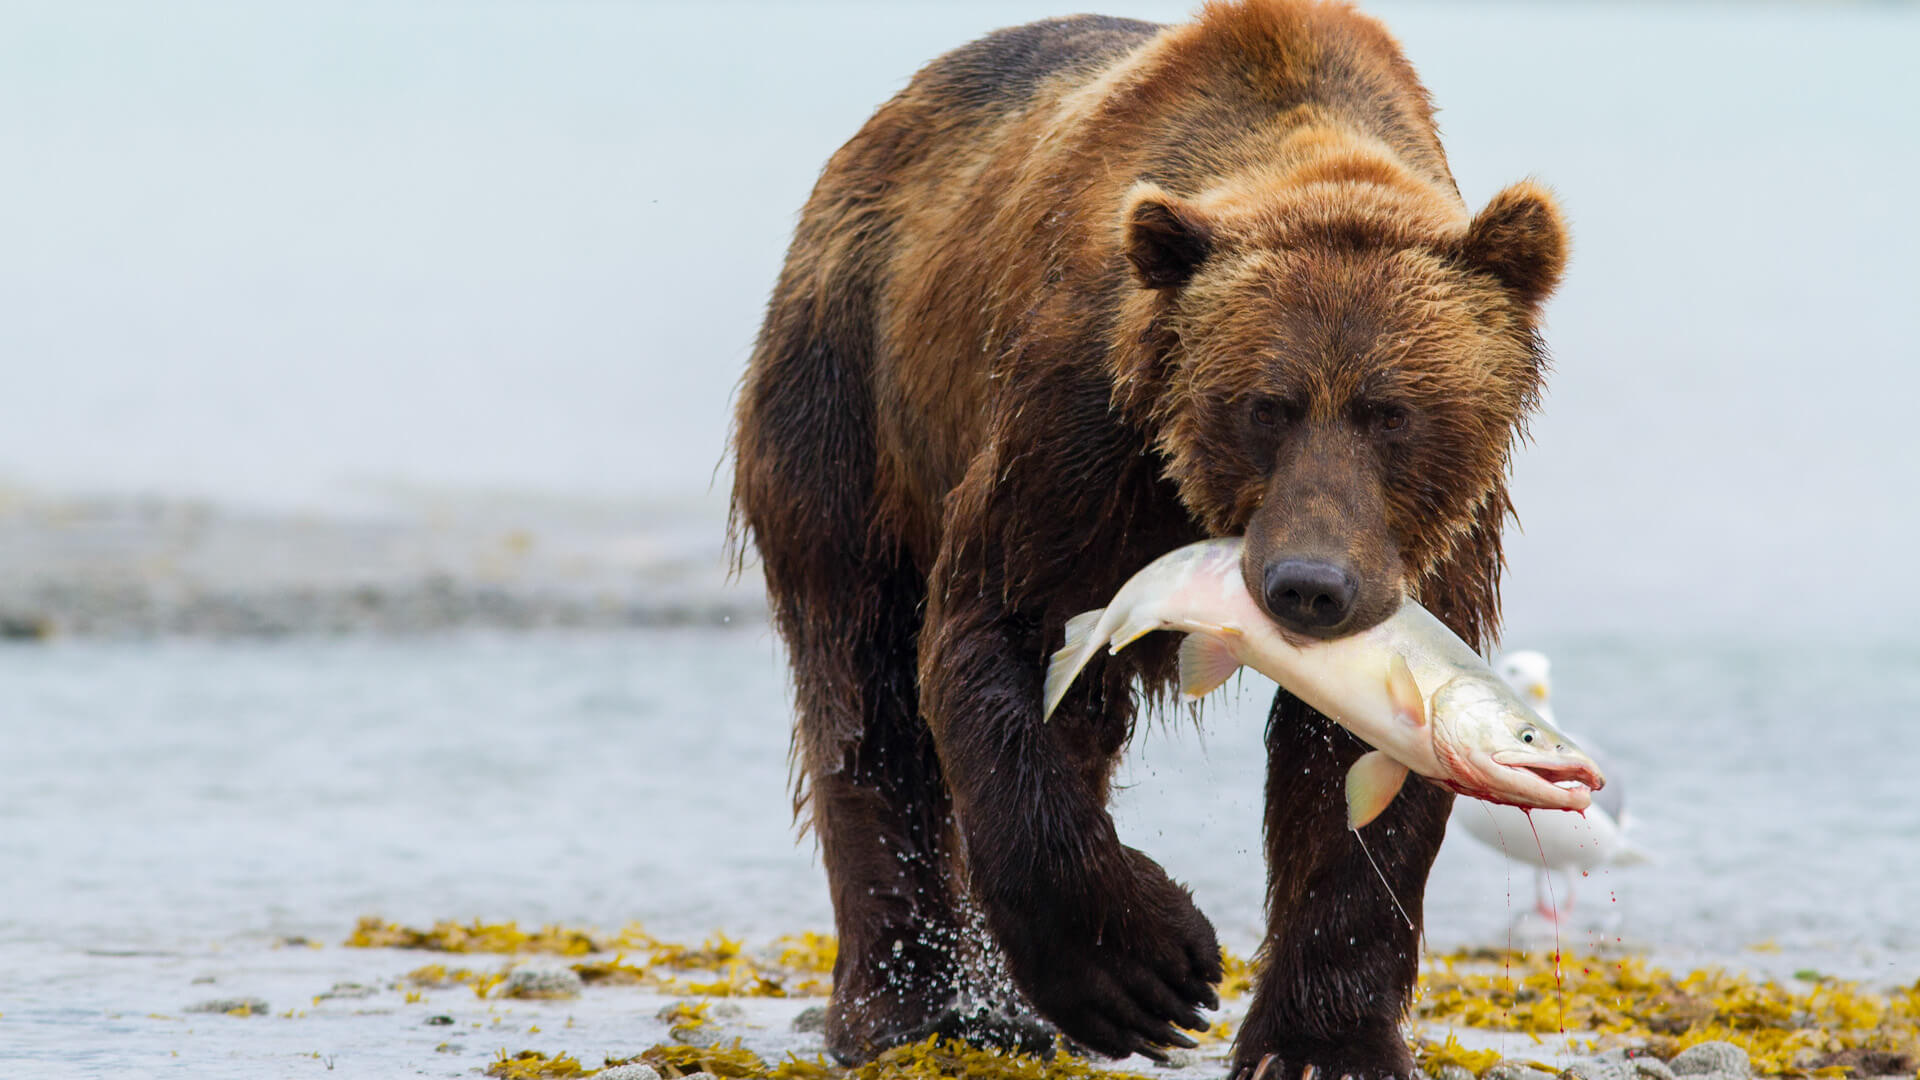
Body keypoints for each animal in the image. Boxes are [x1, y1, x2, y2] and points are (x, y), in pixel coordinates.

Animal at [725, 4, 1566, 1068]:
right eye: (1265, 406)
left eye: (1393, 413)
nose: (1310, 585)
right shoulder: (1077, 428)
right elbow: (1001, 630)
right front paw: (1147, 968)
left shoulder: (1434, 541)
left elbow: (1346, 768)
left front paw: (1323, 1043)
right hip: (847, 395)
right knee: (862, 685)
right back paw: (918, 1008)